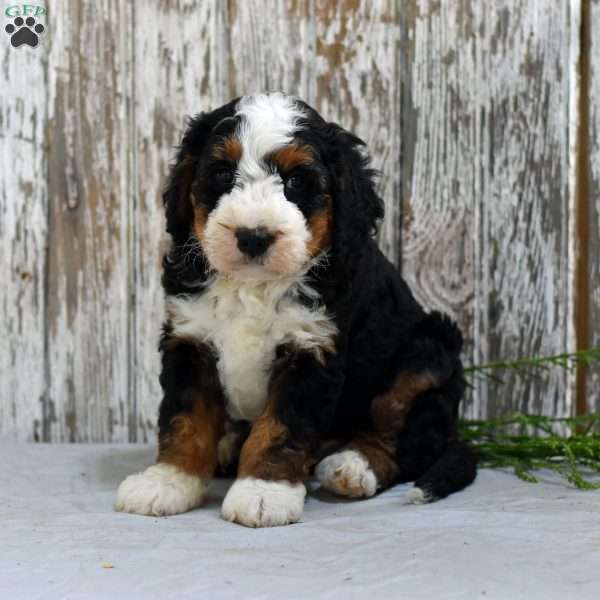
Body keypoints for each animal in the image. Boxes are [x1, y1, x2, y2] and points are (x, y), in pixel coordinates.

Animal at [115, 91, 476, 528]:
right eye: (222, 174)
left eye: (296, 182)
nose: (253, 237)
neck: (254, 285)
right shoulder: (191, 339)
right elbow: (185, 419)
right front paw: (168, 481)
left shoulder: (311, 349)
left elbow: (280, 428)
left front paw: (263, 491)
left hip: (427, 354)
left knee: (411, 438)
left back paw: (354, 466)